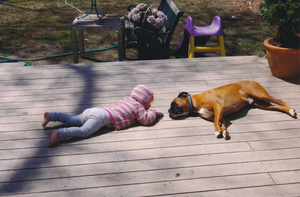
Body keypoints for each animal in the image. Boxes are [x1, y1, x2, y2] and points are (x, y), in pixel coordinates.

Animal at [169, 80, 298, 140]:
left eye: (173, 104)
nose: (169, 111)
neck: (195, 102)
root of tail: (252, 80)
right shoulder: (220, 115)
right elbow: (221, 123)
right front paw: (224, 131)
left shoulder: (218, 107)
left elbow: (216, 122)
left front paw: (217, 131)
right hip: (261, 104)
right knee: (276, 106)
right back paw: (289, 111)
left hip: (261, 95)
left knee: (279, 101)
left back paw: (291, 111)